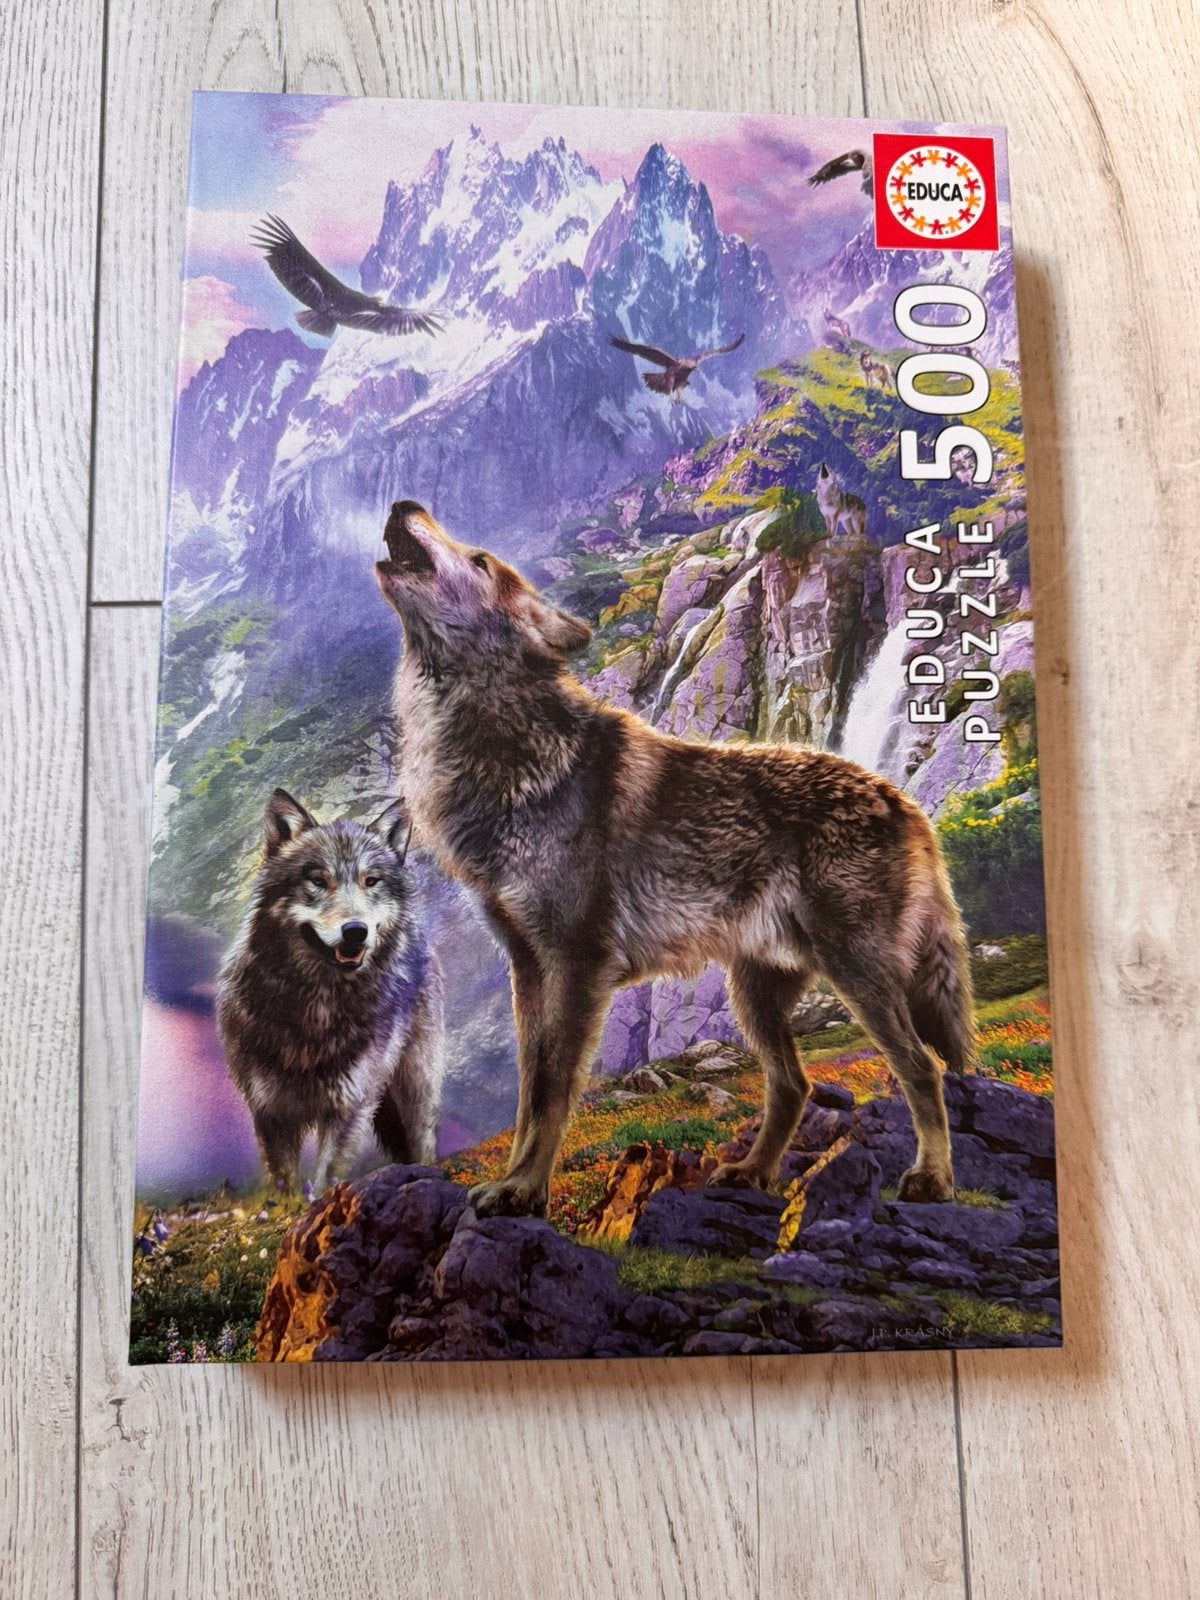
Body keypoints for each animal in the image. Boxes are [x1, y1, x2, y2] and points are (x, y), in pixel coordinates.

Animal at [216, 788, 444, 1195]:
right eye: (318, 881)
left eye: (371, 881)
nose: (355, 931)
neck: (318, 1006)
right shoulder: (269, 1110)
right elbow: (283, 1184)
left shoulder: (349, 1107)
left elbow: (326, 1179)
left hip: (415, 1086)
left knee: (423, 1141)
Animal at [375, 502, 972, 1219]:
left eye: (480, 560)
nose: (404, 506)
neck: (501, 751)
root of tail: (905, 803)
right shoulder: (529, 967)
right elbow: (528, 1095)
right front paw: (516, 1183)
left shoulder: (578, 964)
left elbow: (552, 1093)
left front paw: (523, 1190)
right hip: (756, 994)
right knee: (794, 1084)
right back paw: (751, 1171)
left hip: (857, 978)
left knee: (921, 1067)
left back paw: (932, 1178)